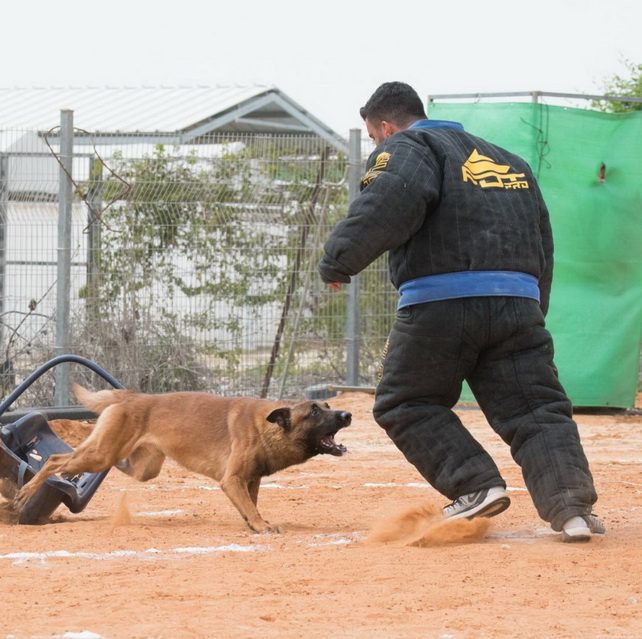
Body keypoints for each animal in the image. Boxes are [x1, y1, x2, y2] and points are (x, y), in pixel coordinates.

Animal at [13, 384, 350, 528]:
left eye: (328, 406)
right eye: (315, 411)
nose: (347, 415)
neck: (267, 427)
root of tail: (132, 396)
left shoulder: (250, 480)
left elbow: (250, 505)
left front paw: (253, 522)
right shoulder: (233, 480)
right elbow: (250, 508)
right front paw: (261, 526)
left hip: (139, 465)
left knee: (87, 461)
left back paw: (67, 477)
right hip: (102, 454)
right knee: (55, 460)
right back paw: (28, 490)